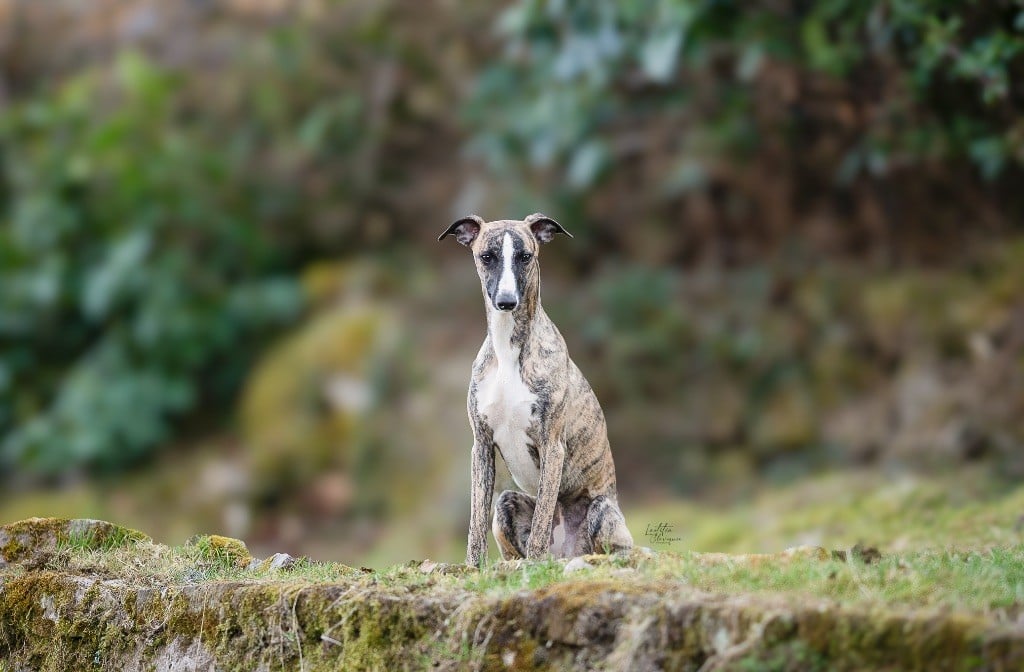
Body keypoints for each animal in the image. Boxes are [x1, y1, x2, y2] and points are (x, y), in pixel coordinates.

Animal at [438, 213, 630, 565]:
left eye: (525, 256)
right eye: (487, 256)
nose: (506, 302)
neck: (507, 352)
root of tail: (565, 552)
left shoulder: (552, 445)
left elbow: (542, 515)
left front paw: (535, 563)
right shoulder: (481, 445)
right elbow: (475, 520)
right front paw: (473, 566)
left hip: (602, 509)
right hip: (505, 504)